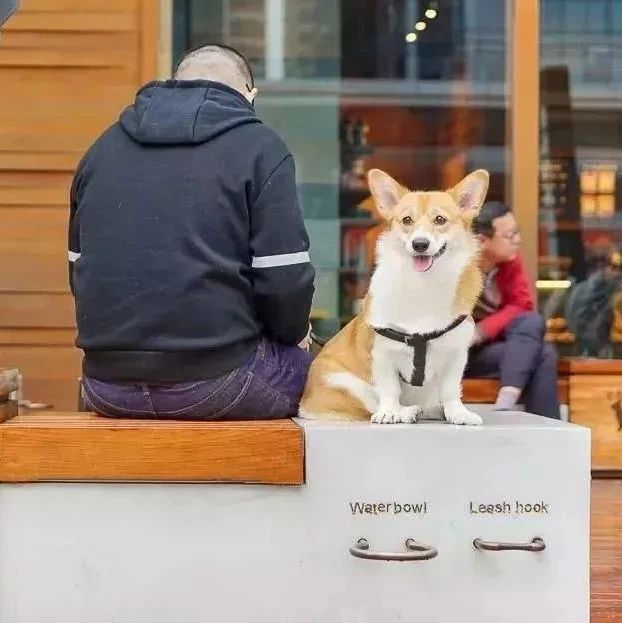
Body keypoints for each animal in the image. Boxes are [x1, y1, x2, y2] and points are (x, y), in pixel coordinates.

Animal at [300, 168, 490, 426]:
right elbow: (390, 389)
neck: (423, 286)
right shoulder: (382, 354)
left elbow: (451, 390)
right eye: (407, 220)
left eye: (440, 220)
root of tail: (304, 403)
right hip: (346, 383)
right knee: (372, 403)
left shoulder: (456, 355)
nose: (420, 244)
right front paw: (390, 412)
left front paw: (457, 413)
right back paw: (405, 412)